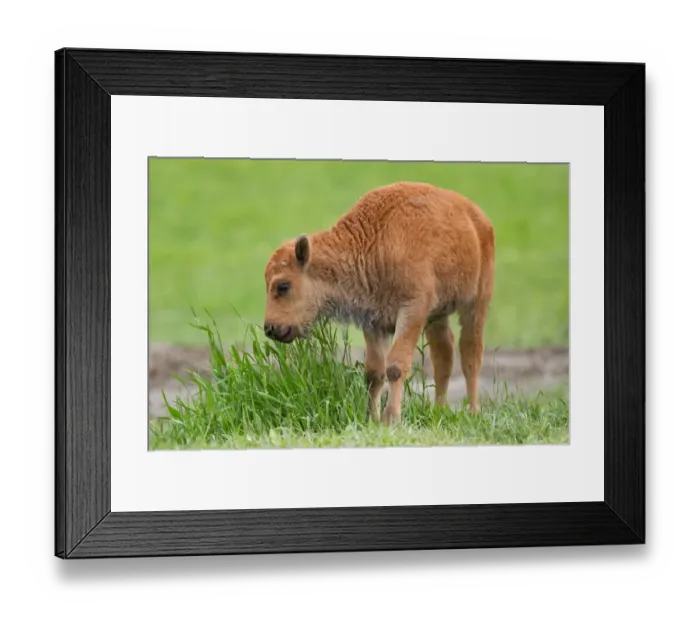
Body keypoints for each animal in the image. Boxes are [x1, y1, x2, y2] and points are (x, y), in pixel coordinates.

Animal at [263, 181, 495, 425]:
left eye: (283, 286)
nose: (270, 328)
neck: (374, 242)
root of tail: (477, 217)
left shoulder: (412, 310)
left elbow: (395, 365)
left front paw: (390, 418)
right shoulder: (373, 321)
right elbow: (375, 372)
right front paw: (370, 418)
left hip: (477, 302)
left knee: (470, 354)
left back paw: (473, 411)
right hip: (437, 316)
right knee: (444, 356)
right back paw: (438, 412)